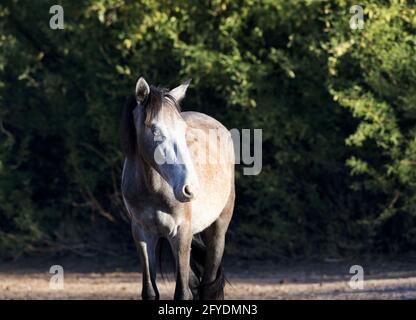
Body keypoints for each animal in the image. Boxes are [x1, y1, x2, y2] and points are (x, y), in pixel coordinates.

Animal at [122, 76, 236, 298]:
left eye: (183, 131)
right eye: (155, 130)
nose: (189, 189)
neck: (154, 190)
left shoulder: (182, 233)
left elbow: (183, 293)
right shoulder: (142, 234)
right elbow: (150, 291)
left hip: (217, 231)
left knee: (208, 285)